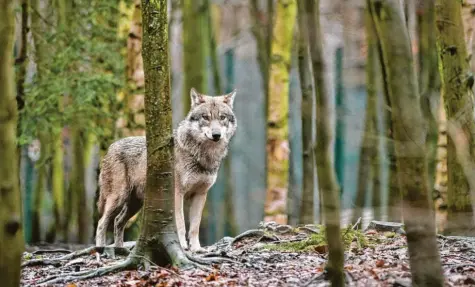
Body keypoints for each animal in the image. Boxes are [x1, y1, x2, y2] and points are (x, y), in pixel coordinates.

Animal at [95, 88, 238, 252]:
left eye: (222, 117)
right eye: (205, 117)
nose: (216, 135)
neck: (202, 155)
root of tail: (110, 147)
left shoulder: (201, 194)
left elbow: (195, 227)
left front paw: (197, 249)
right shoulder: (177, 193)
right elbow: (181, 224)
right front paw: (182, 246)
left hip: (135, 204)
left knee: (118, 221)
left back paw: (120, 249)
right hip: (118, 199)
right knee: (101, 223)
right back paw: (100, 249)